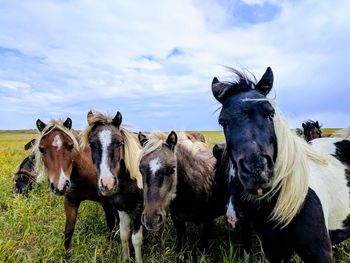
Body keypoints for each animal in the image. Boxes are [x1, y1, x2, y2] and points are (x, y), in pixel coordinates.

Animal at [32, 118, 116, 251]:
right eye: (41, 148)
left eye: (71, 146)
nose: (60, 186)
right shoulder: (71, 201)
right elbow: (68, 232)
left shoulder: (106, 202)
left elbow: (112, 228)